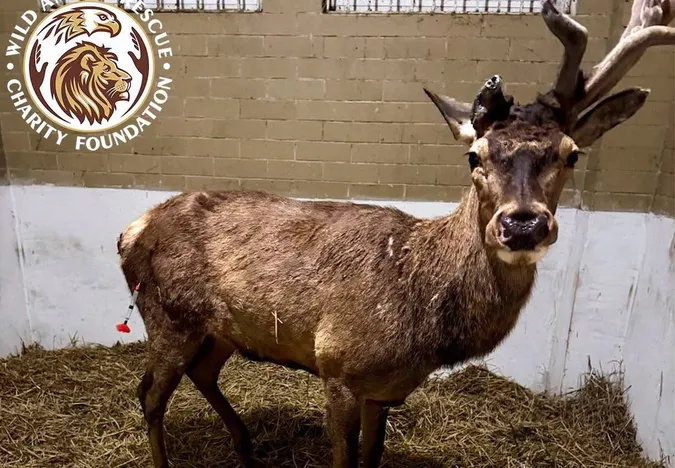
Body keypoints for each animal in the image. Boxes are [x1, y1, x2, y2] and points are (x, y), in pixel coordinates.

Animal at [116, 0, 675, 466]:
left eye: (571, 153)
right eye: (474, 156)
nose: (523, 223)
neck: (426, 325)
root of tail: (129, 230)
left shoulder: (383, 390)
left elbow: (373, 456)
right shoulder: (338, 367)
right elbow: (345, 458)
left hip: (217, 329)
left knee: (201, 373)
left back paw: (246, 446)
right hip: (169, 316)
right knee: (149, 394)